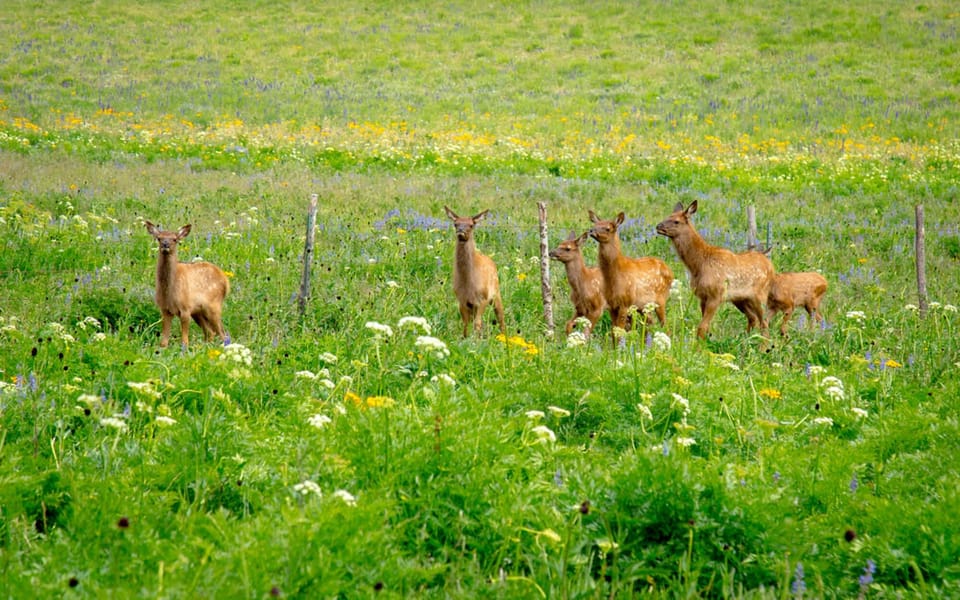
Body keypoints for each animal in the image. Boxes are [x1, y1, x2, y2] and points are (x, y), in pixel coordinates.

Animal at [442, 206, 506, 338]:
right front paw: (466, 339)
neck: (469, 285)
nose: (460, 230)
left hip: (496, 293)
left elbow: (477, 324)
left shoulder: (483, 298)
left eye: (471, 225)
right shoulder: (462, 300)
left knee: (500, 317)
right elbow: (466, 325)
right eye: (455, 224)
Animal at [656, 202, 776, 340]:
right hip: (740, 299)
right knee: (753, 319)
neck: (699, 265)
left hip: (760, 295)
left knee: (764, 322)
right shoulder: (702, 297)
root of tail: (768, 259)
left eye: (676, 221)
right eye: (667, 216)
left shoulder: (715, 295)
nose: (658, 226)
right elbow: (706, 328)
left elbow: (702, 328)